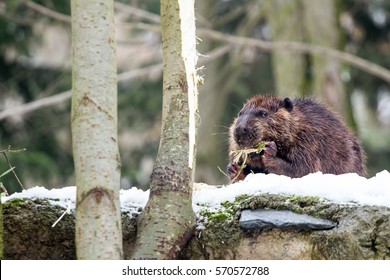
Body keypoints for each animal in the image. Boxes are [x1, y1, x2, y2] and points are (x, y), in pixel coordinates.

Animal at [227, 94, 368, 182]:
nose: (240, 129)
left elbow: (304, 169)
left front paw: (270, 152)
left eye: (263, 113)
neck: (297, 124)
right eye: (240, 114)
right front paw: (234, 168)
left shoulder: (309, 140)